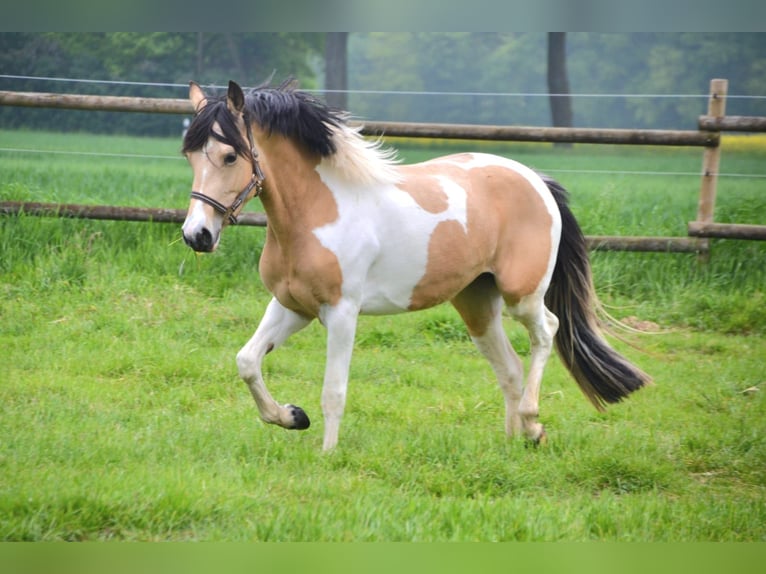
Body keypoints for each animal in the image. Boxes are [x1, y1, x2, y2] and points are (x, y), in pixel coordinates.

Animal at [180, 79, 650, 451]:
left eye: (229, 156)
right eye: (190, 157)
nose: (196, 235)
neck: (319, 211)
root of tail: (537, 180)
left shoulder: (342, 312)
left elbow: (334, 390)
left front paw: (327, 454)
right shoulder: (293, 306)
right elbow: (247, 361)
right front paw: (292, 417)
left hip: (522, 295)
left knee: (547, 331)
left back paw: (534, 427)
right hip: (477, 304)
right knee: (509, 369)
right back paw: (511, 442)